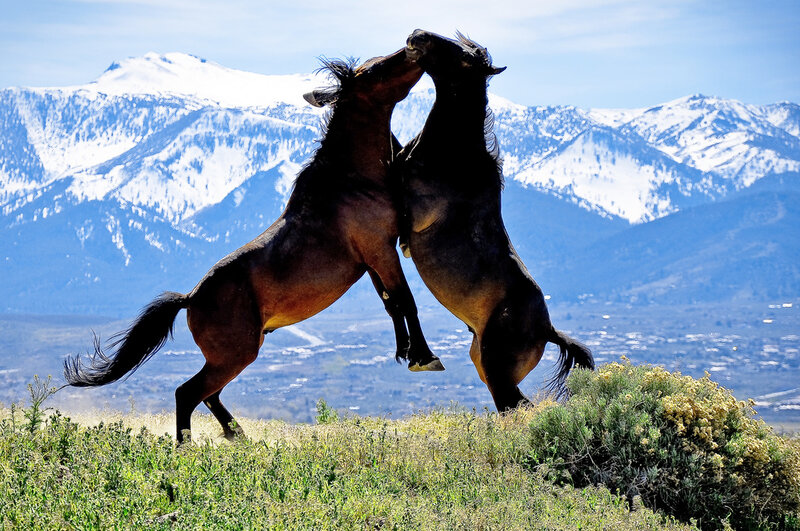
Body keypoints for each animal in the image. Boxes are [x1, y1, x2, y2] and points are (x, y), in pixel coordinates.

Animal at [64, 47, 444, 444]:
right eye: (376, 69)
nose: (413, 51)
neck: (351, 180)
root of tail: (190, 298)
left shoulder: (371, 259)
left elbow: (390, 303)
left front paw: (405, 352)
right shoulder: (380, 248)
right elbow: (406, 299)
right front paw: (424, 357)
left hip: (235, 354)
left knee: (209, 394)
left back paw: (238, 436)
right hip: (236, 354)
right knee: (188, 392)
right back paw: (190, 447)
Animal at [396, 30, 595, 411]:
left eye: (462, 56)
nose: (416, 36)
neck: (453, 153)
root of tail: (547, 330)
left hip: (495, 364)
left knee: (517, 407)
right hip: (485, 365)